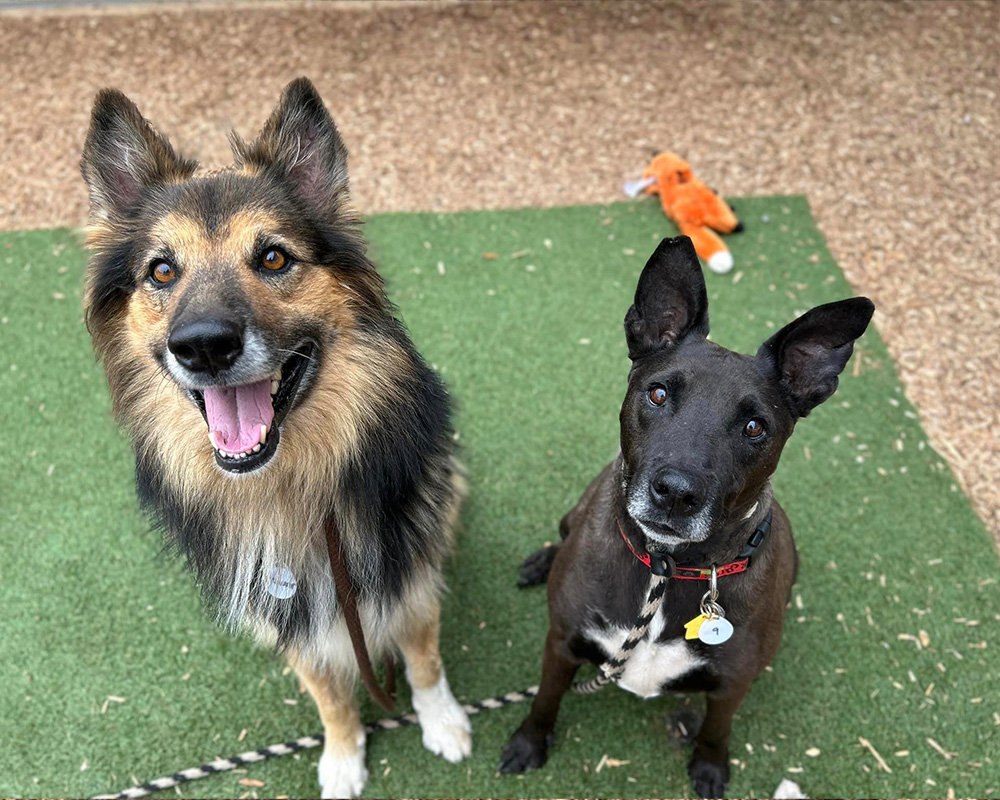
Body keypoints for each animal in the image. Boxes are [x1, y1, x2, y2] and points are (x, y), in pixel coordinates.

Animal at [504, 236, 872, 792]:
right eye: (657, 393)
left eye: (754, 427)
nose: (675, 493)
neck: (670, 568)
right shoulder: (562, 643)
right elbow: (545, 699)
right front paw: (530, 742)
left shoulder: (733, 683)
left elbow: (718, 727)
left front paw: (709, 765)